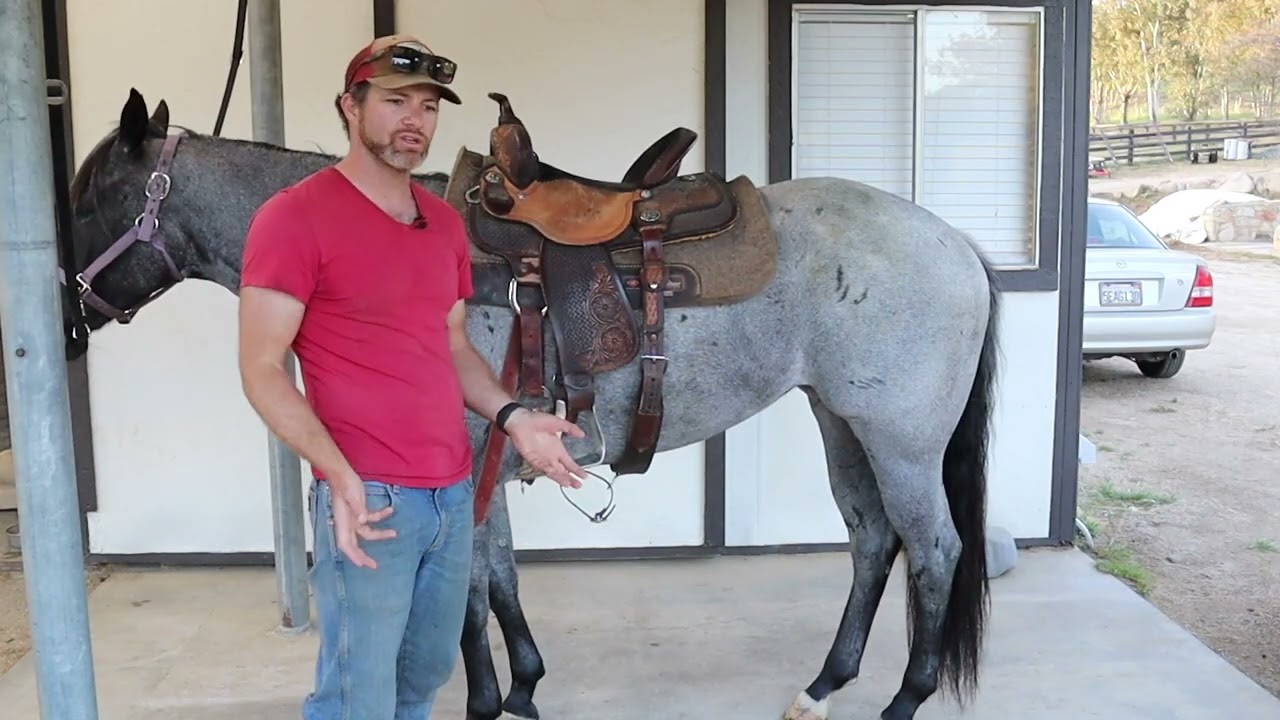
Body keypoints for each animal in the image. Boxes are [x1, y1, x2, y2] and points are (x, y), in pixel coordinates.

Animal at [59, 88, 999, 720]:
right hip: (842, 422)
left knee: (934, 548)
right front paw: (524, 688)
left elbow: (470, 599)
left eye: (91, 197)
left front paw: (488, 700)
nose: (63, 318)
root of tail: (953, 240)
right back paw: (823, 685)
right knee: (873, 540)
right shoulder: (490, 460)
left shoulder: (460, 464)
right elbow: (502, 581)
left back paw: (903, 700)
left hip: (902, 440)